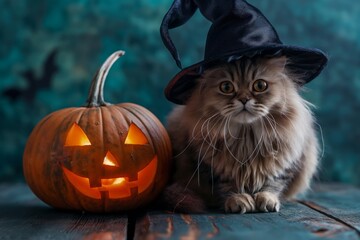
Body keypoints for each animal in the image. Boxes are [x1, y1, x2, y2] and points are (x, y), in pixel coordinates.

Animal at [165, 56, 320, 214]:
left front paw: (267, 199)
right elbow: (227, 187)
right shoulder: (210, 167)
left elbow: (273, 184)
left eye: (260, 85)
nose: (244, 99)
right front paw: (238, 199)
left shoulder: (285, 164)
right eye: (226, 87)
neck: (246, 137)